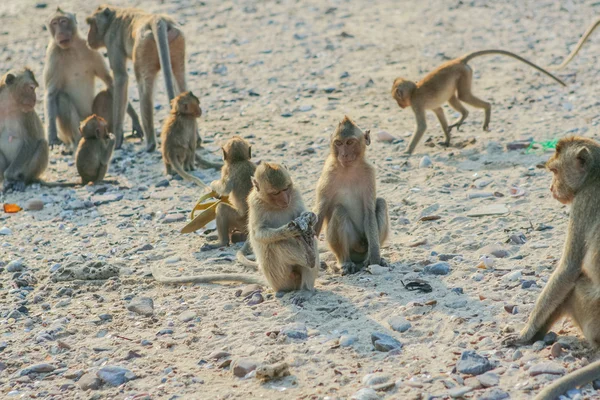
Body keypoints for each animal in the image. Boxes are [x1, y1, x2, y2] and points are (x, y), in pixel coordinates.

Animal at [44, 7, 141, 152]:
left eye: (63, 21)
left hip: (94, 115)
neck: (71, 48)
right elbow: (51, 94)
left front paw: (135, 118)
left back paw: (107, 134)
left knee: (107, 94)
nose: (60, 32)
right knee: (61, 98)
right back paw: (78, 140)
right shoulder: (52, 54)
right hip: (71, 131)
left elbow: (109, 81)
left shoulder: (89, 49)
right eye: (54, 23)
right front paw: (52, 138)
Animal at [86, 5, 188, 153]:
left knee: (143, 85)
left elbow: (121, 78)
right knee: (179, 77)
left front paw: (117, 138)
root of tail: (157, 19)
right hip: (177, 39)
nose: (88, 37)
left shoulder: (111, 40)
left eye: (91, 23)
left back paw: (150, 144)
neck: (113, 17)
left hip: (143, 45)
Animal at [312, 116, 392, 276]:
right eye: (338, 143)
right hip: (351, 246)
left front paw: (375, 259)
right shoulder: (328, 173)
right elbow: (321, 211)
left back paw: (371, 258)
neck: (348, 169)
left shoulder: (369, 173)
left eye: (349, 142)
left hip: (364, 246)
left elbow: (369, 212)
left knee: (380, 203)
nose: (343, 154)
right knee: (339, 211)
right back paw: (345, 262)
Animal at [394, 49, 568, 155]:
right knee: (454, 97)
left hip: (463, 74)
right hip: (464, 74)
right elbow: (439, 111)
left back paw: (484, 109)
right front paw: (447, 139)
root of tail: (459, 61)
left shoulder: (416, 104)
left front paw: (407, 152)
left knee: (463, 96)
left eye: (397, 99)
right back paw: (464, 116)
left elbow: (422, 126)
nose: (399, 106)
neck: (414, 90)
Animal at [506, 136, 600, 398]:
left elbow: (568, 269)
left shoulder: (583, 203)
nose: (551, 188)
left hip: (588, 311)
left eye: (555, 171)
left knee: (572, 285)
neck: (595, 175)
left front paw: (525, 334)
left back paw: (535, 336)